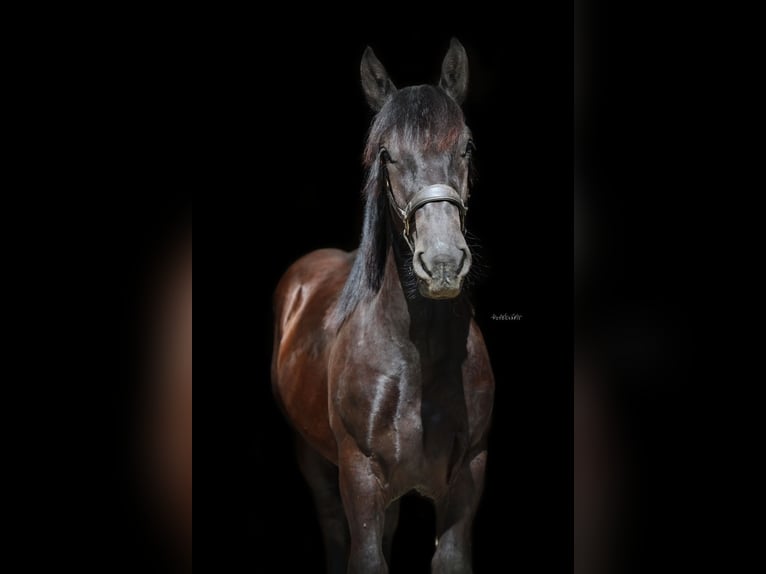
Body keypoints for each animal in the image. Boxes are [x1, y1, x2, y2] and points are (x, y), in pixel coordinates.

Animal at [271, 38, 494, 574]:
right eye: (387, 154)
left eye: (466, 146)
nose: (442, 262)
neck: (419, 357)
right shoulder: (359, 476)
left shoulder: (467, 477)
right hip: (314, 462)